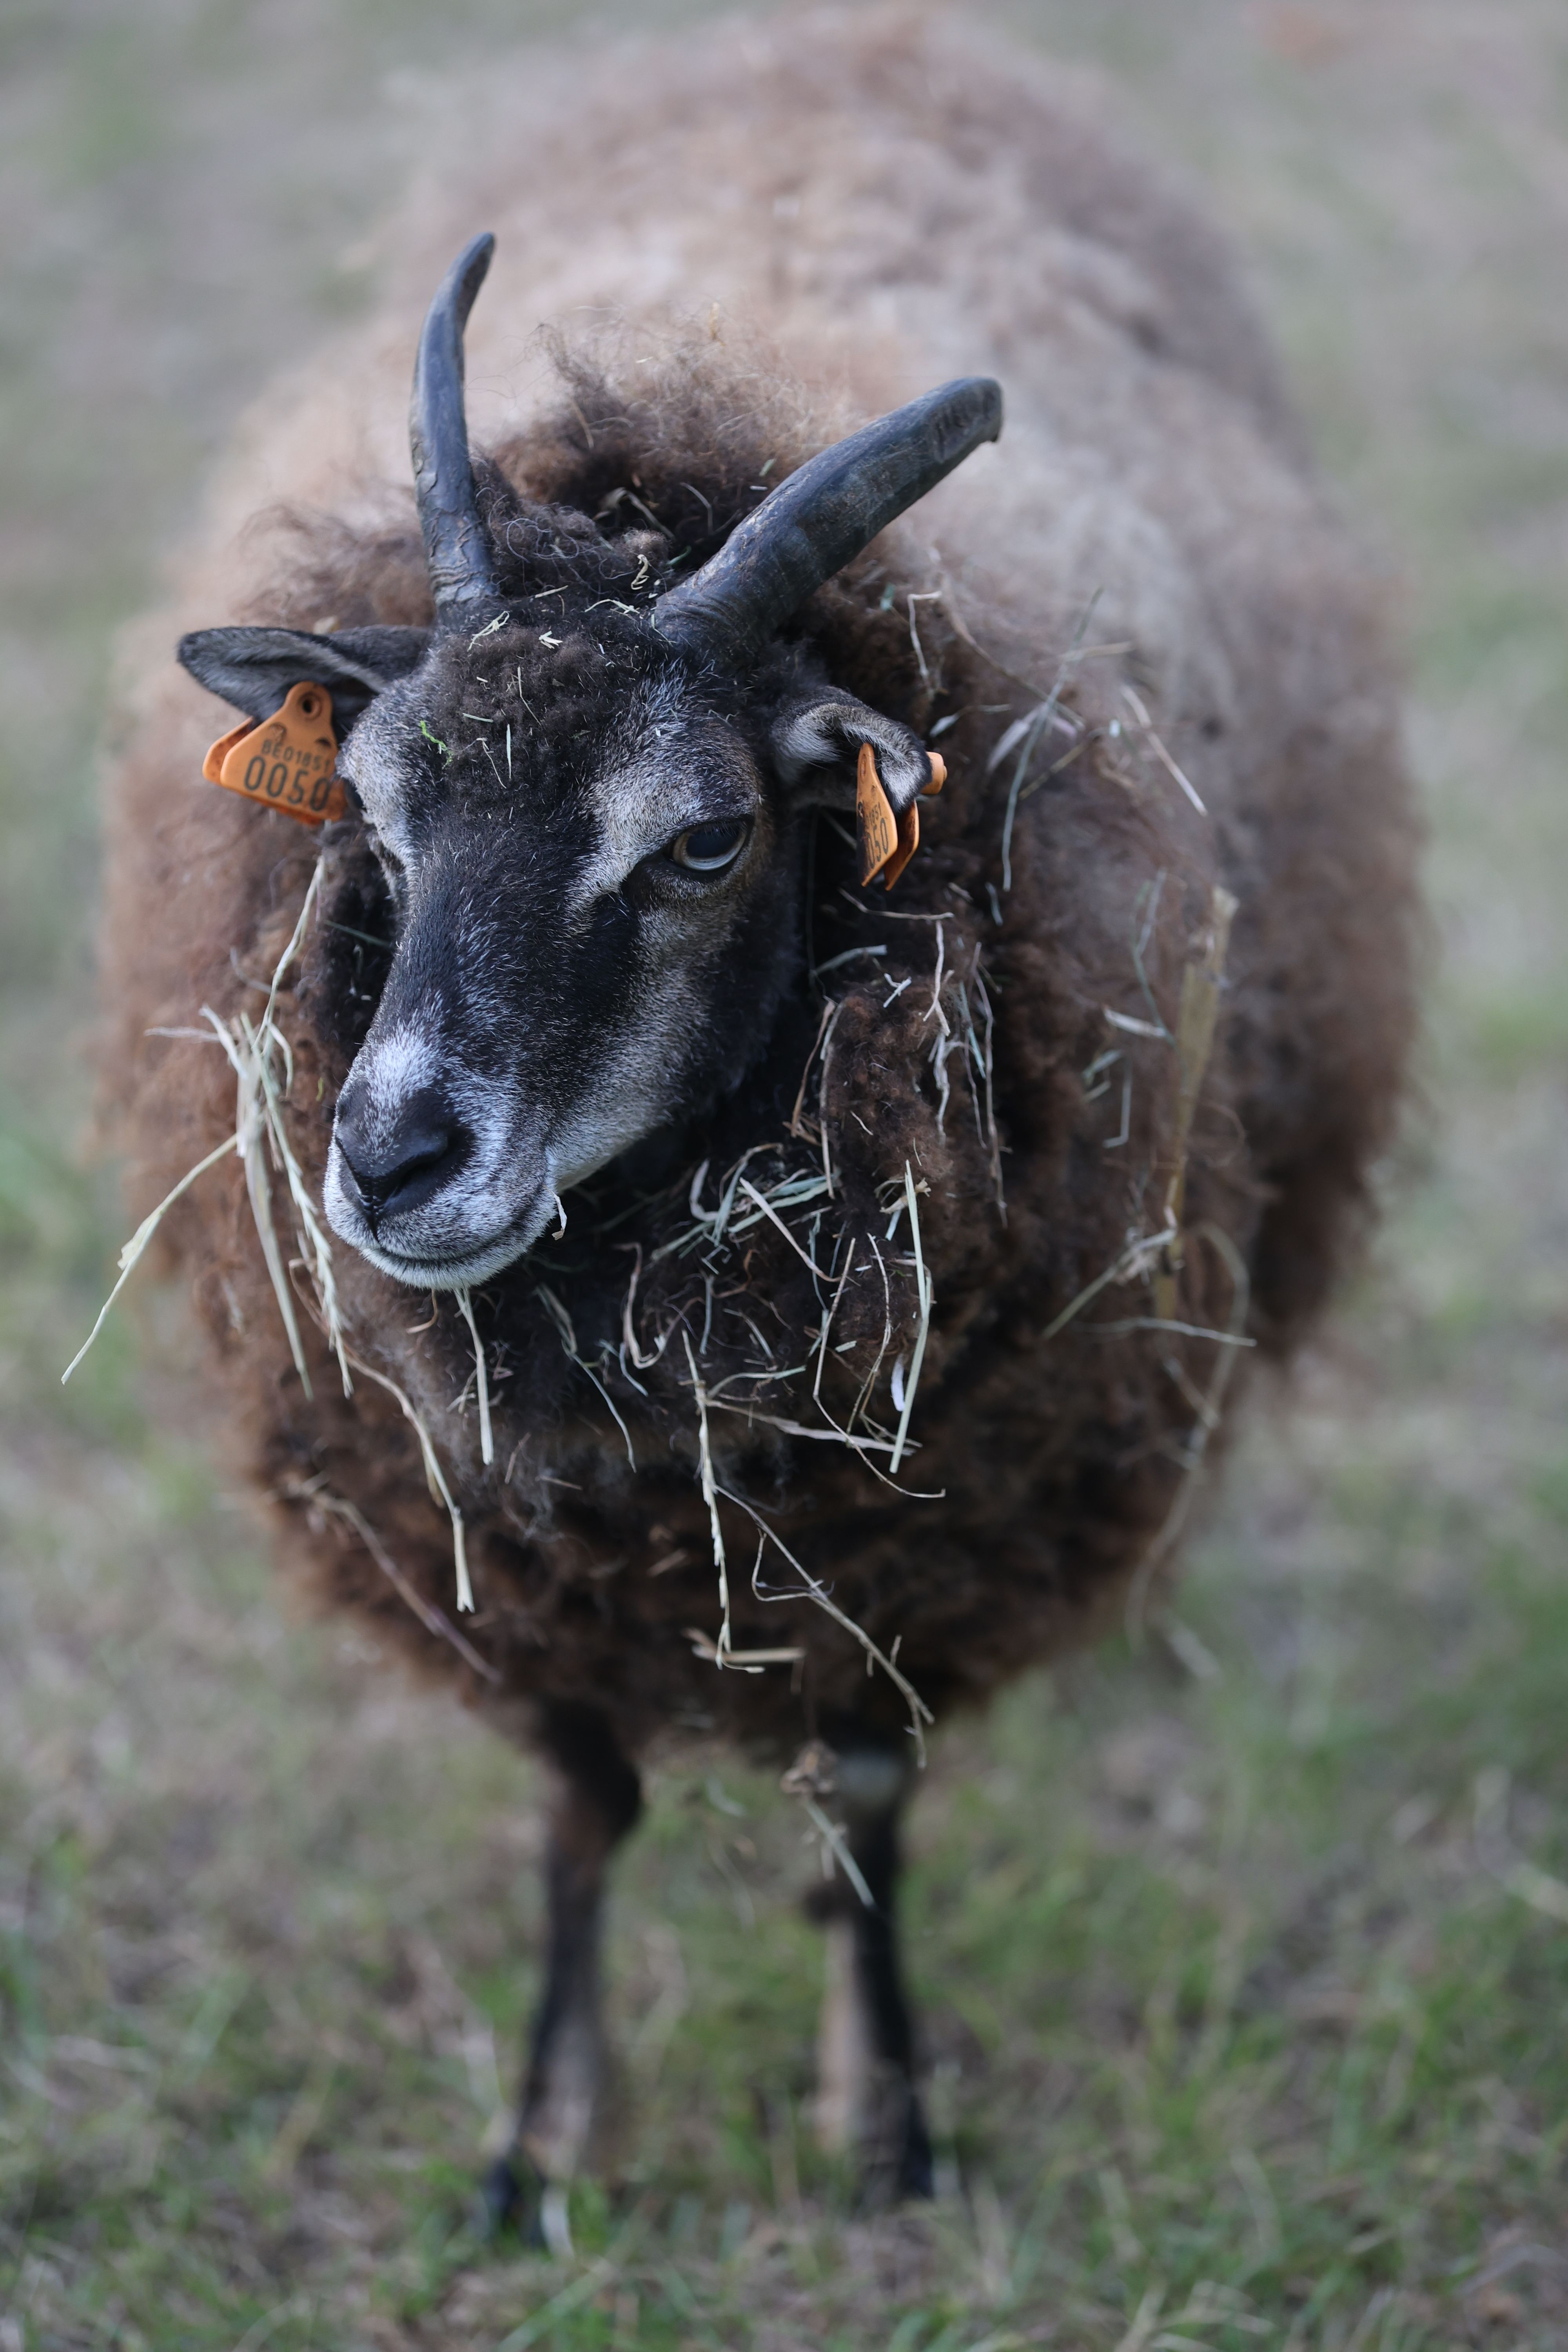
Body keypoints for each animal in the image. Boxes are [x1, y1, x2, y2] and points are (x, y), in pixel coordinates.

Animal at [96, 5, 1419, 2225]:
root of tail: (851, 36)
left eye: (705, 839)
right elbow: (578, 1806)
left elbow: (866, 1797)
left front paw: (883, 2119)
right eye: (367, 811)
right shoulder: (499, 1537)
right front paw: (539, 2143)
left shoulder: (920, 1517)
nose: (395, 1156)